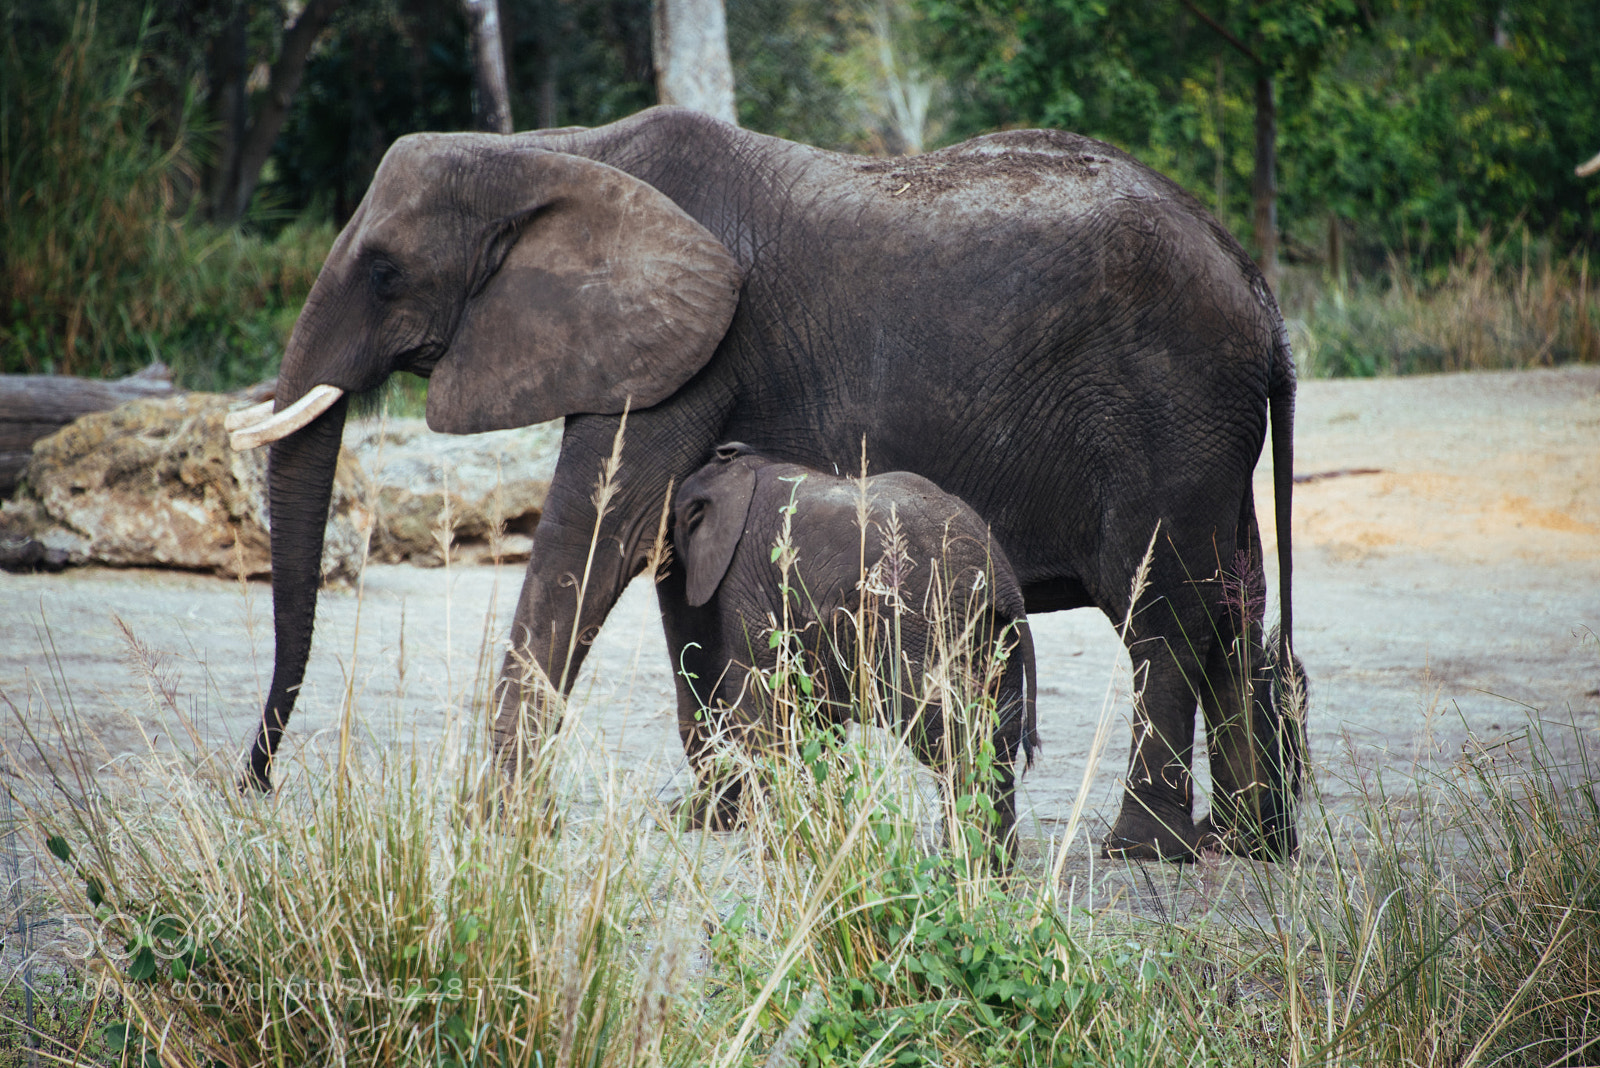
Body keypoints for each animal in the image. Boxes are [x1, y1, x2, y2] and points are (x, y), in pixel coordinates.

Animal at [672, 443, 1037, 854]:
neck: (743, 468)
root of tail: (1004, 586)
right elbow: (813, 718)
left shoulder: (746, 582)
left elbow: (762, 705)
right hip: (992, 638)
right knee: (997, 740)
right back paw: (987, 867)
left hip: (923, 626)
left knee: (948, 740)